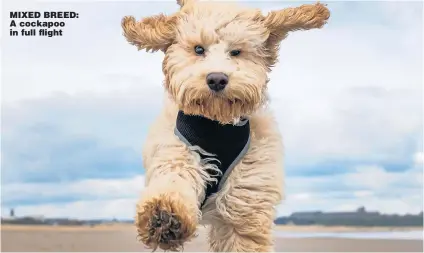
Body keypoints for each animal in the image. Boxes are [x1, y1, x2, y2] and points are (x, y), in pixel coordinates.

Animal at [121, 0, 330, 251]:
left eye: (236, 51)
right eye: (199, 49)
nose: (217, 79)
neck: (217, 123)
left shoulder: (246, 196)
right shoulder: (177, 152)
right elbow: (175, 180)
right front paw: (163, 217)